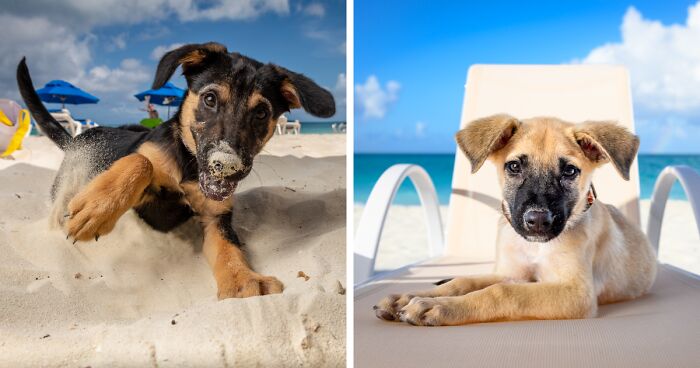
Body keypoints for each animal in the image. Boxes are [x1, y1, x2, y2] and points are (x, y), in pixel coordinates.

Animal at [15, 41, 334, 300]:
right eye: (209, 99)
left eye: (262, 113)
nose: (226, 166)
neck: (189, 169)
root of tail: (74, 140)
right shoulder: (145, 185)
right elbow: (141, 161)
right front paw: (97, 209)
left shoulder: (216, 218)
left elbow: (229, 250)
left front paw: (243, 280)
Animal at [378, 114, 656, 324]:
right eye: (514, 166)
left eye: (569, 171)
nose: (538, 221)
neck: (534, 246)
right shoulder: (512, 273)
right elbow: (465, 280)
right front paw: (413, 296)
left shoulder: (577, 293)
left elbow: (502, 292)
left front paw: (439, 307)